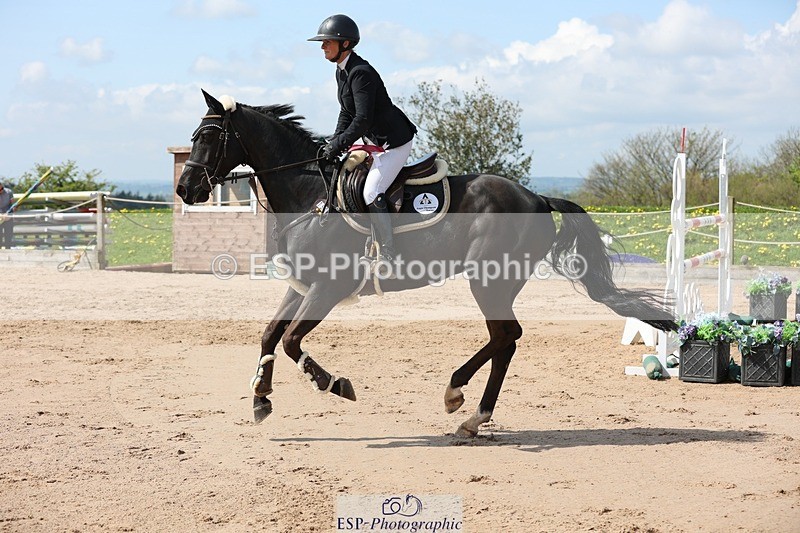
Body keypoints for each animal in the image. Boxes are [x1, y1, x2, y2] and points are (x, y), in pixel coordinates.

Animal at [176, 90, 676, 437]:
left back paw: (461, 399)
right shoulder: (302, 285)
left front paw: (335, 384)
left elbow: (293, 342)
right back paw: (471, 413)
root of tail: (536, 198)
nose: (186, 190)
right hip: (495, 283)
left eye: (209, 137)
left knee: (506, 336)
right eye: (194, 138)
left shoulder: (327, 289)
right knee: (506, 339)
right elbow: (269, 334)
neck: (309, 193)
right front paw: (261, 400)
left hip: (488, 280)